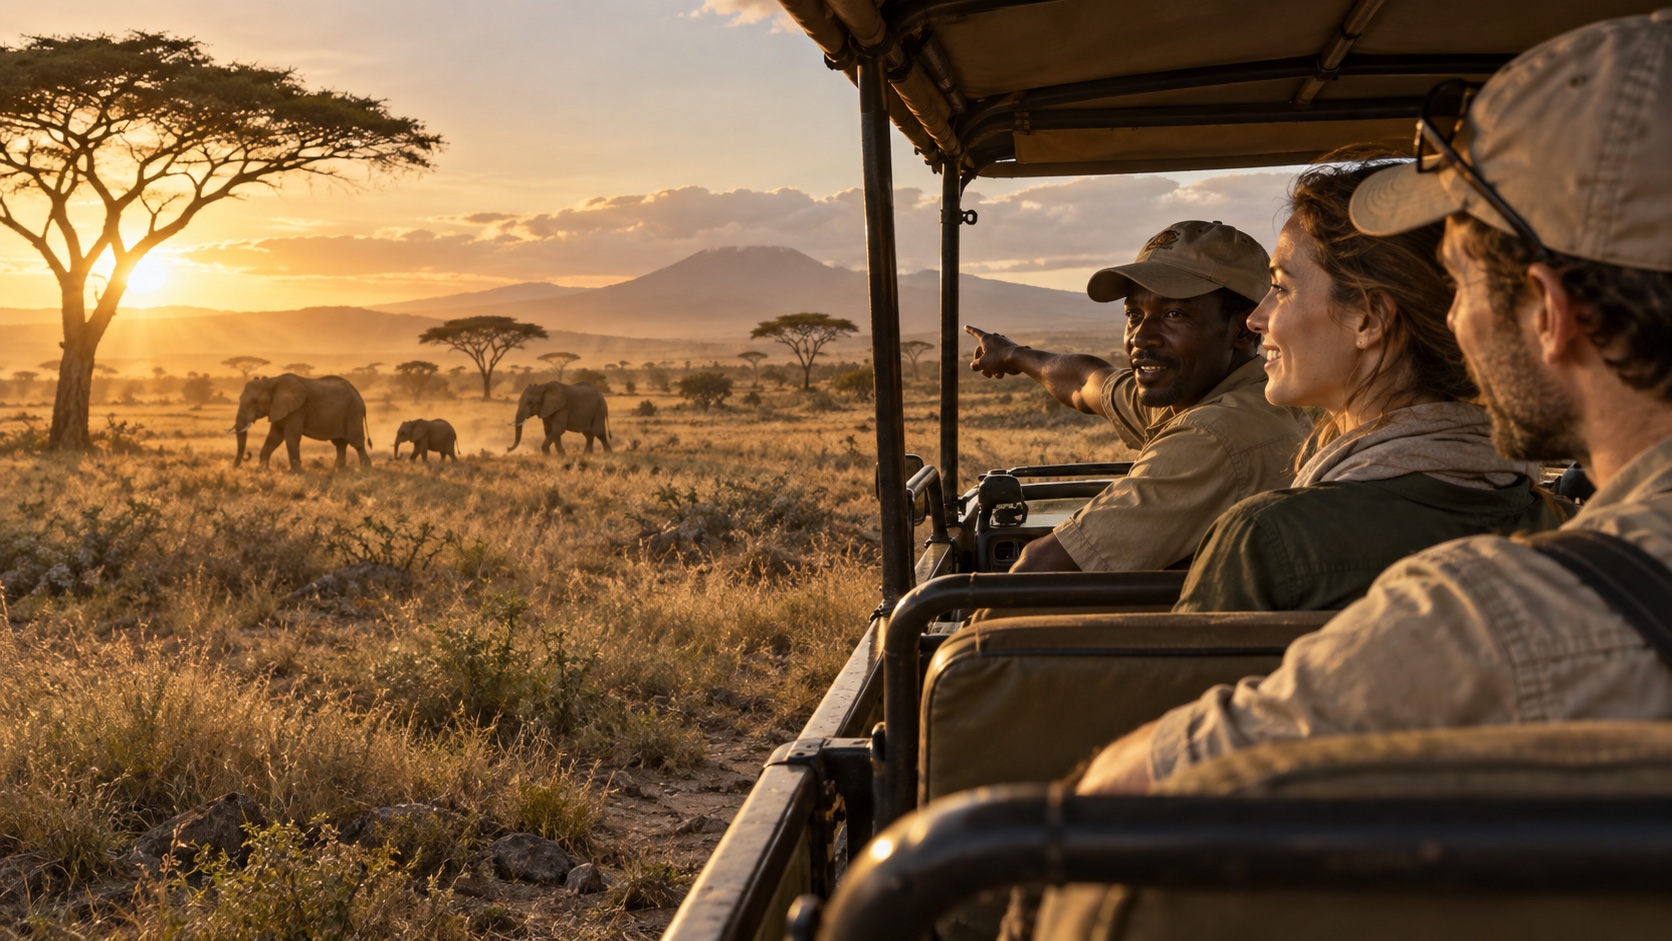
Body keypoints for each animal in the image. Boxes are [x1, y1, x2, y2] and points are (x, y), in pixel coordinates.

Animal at [230, 374, 372, 470]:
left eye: (255, 402)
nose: (247, 455)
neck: (272, 381)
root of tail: (360, 397)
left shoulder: (298, 409)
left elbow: (290, 436)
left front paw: (297, 472)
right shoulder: (279, 408)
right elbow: (274, 437)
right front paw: (264, 471)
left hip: (353, 413)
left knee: (357, 443)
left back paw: (365, 470)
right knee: (340, 444)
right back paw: (339, 470)